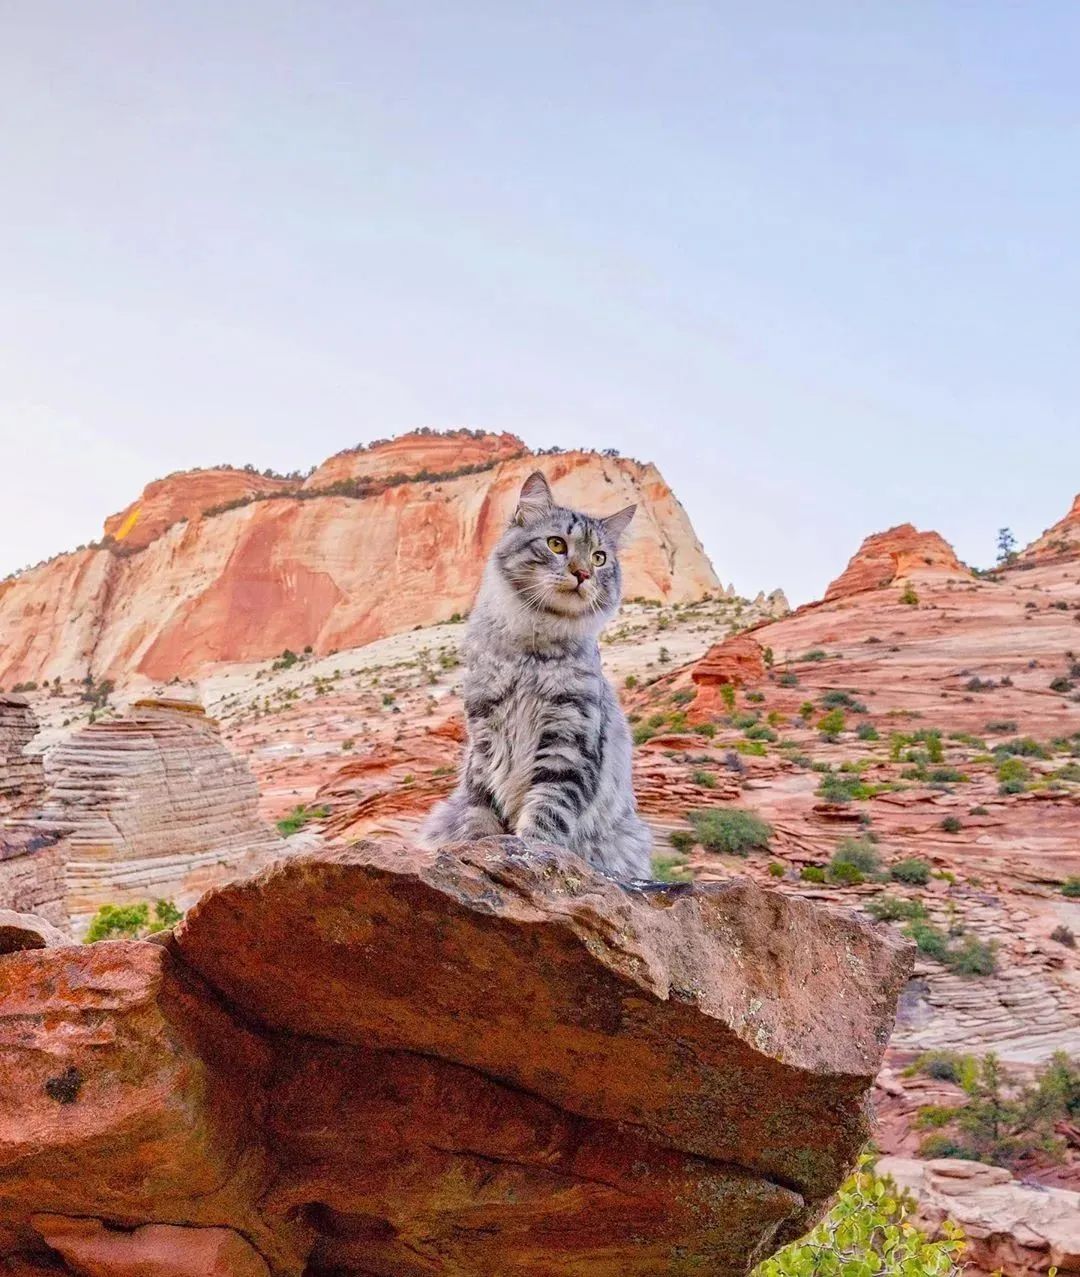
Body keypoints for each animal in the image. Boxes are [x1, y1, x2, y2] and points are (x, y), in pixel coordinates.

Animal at [423, 469, 653, 878]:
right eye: (556, 544)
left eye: (599, 558)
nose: (582, 573)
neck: (532, 653)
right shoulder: (484, 738)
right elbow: (481, 812)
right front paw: (479, 851)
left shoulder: (569, 740)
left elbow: (547, 813)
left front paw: (529, 853)